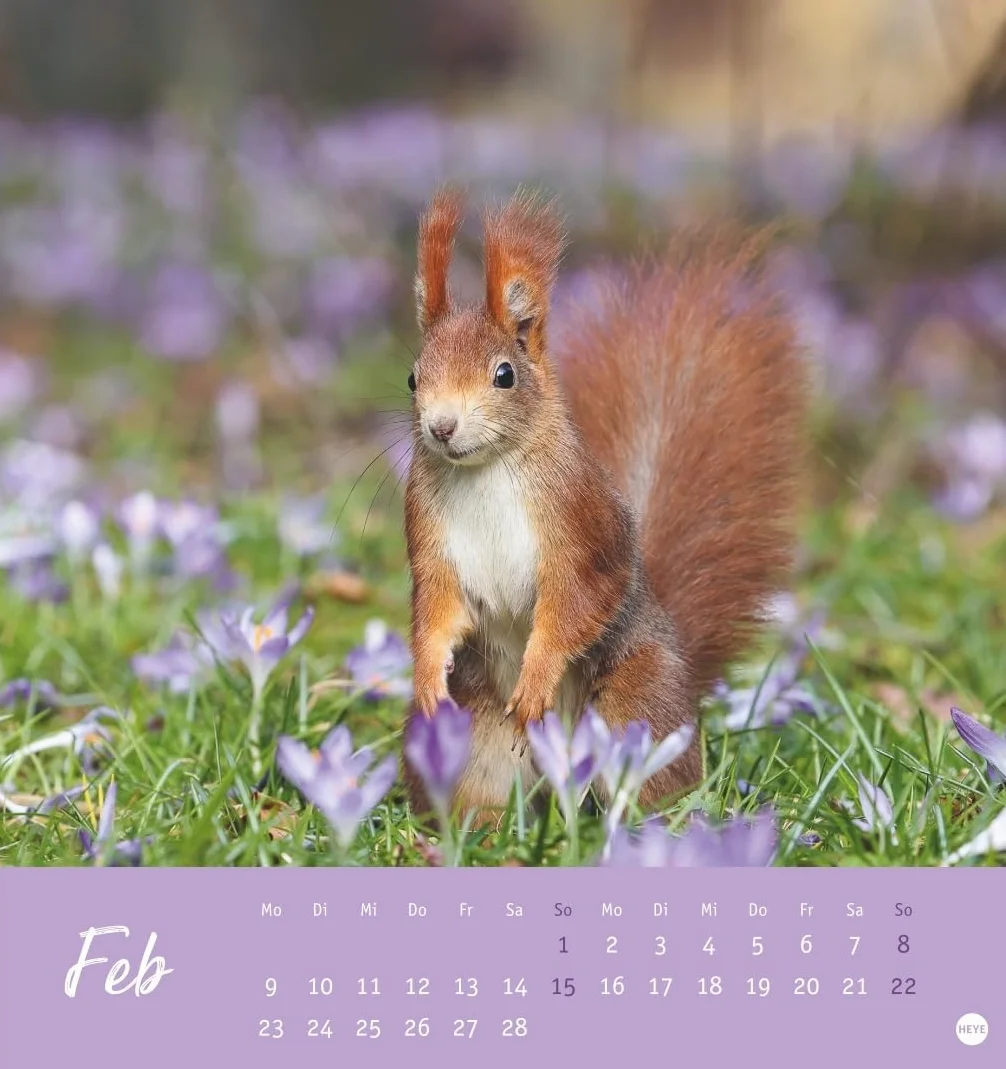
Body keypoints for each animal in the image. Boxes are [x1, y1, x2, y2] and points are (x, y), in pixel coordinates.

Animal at [401, 186, 808, 824]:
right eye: (413, 378)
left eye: (504, 375)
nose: (441, 428)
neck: (484, 471)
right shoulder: (429, 533)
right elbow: (438, 609)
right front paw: (425, 675)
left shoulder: (580, 521)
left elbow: (578, 600)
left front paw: (538, 675)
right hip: (477, 739)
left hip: (634, 706)